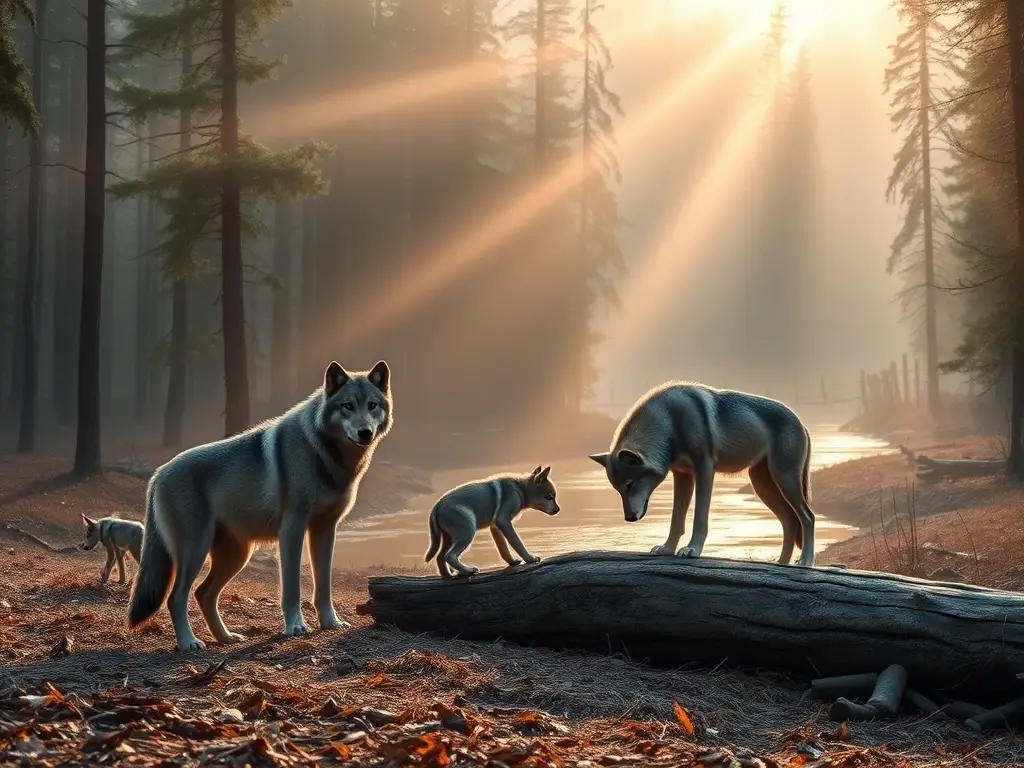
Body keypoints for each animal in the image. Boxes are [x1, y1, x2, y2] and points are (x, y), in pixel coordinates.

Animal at [127, 360, 393, 651]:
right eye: (348, 406)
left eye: (372, 405)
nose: (365, 432)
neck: (324, 454)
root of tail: (157, 474)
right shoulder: (292, 528)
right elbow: (291, 588)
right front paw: (295, 627)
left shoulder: (325, 530)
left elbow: (323, 587)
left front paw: (330, 623)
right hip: (195, 551)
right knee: (176, 597)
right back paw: (189, 643)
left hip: (236, 556)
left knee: (203, 594)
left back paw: (226, 637)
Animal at [424, 466, 560, 578]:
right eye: (550, 497)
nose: (558, 510)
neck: (520, 489)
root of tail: (437, 506)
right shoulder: (503, 521)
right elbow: (517, 543)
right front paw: (530, 559)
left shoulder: (495, 526)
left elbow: (503, 548)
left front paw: (513, 562)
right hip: (467, 532)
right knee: (449, 556)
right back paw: (468, 571)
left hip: (448, 537)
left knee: (440, 557)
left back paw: (449, 576)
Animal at [589, 383, 815, 567]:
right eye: (617, 489)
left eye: (630, 484)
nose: (628, 518)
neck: (670, 421)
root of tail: (802, 423)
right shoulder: (682, 475)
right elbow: (676, 519)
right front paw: (667, 549)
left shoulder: (704, 468)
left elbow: (700, 516)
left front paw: (693, 549)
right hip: (762, 485)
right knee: (790, 520)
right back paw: (782, 563)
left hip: (784, 480)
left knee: (807, 516)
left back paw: (805, 561)